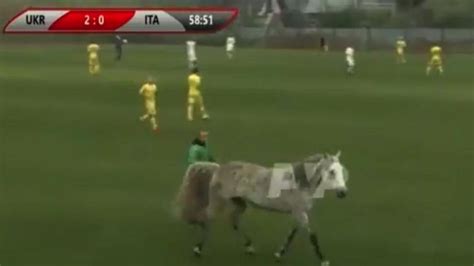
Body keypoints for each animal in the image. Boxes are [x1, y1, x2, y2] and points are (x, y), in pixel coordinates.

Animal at [176, 152, 350, 266]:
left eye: (342, 170)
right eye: (332, 171)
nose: (343, 192)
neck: (300, 183)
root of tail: (218, 168)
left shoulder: (300, 213)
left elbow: (292, 234)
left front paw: (279, 254)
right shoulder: (300, 212)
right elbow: (312, 236)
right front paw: (324, 260)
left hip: (240, 203)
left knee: (234, 222)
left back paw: (250, 247)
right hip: (218, 201)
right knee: (207, 218)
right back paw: (197, 249)